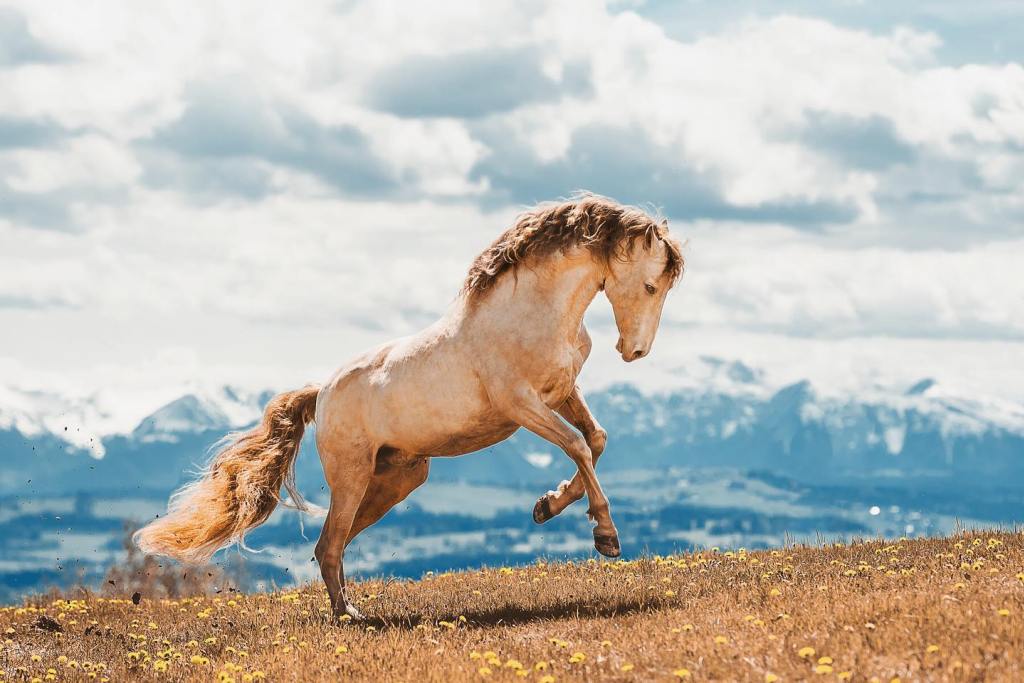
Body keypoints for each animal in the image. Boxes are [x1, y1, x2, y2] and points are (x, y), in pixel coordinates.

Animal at [134, 192, 679, 618]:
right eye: (651, 285)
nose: (635, 351)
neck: (534, 312)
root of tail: (322, 393)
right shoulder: (521, 405)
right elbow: (577, 445)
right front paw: (605, 535)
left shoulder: (561, 393)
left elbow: (595, 439)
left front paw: (547, 506)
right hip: (353, 475)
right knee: (329, 543)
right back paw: (351, 616)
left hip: (398, 478)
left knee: (331, 544)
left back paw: (349, 607)